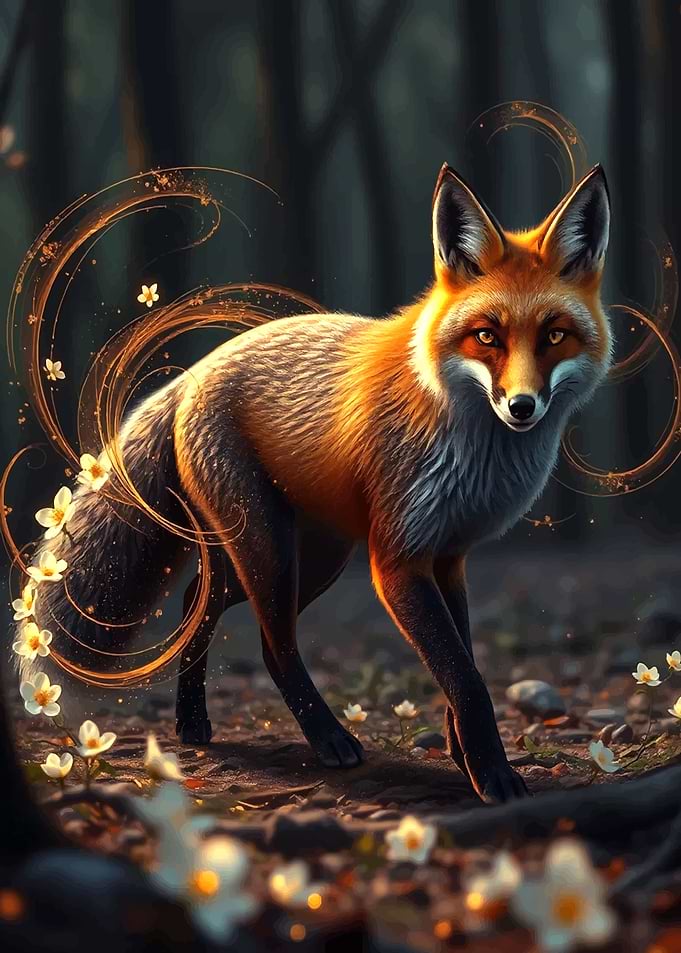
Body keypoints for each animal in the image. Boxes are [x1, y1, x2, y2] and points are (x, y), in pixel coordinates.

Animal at [19, 163, 611, 803]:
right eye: (486, 337)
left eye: (554, 336)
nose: (522, 407)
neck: (469, 444)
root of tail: (194, 373)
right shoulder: (398, 560)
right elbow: (467, 679)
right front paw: (494, 776)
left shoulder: (449, 555)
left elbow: (465, 663)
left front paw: (464, 756)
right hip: (273, 552)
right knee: (272, 646)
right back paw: (327, 740)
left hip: (309, 558)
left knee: (198, 604)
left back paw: (193, 722)